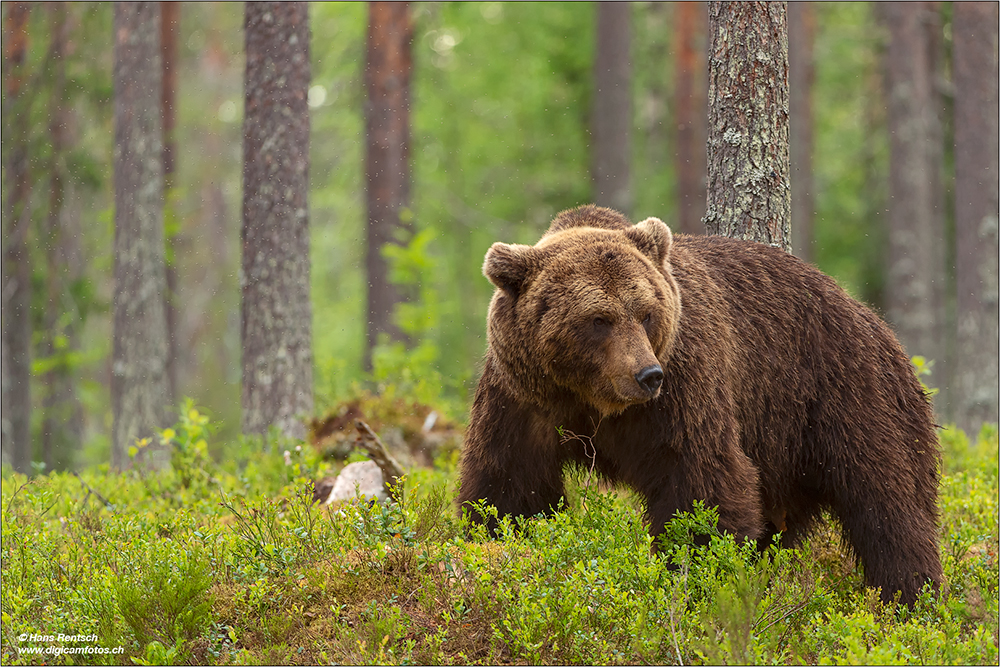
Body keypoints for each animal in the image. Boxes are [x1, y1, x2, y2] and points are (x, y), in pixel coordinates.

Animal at [460, 206, 944, 608]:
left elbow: (700, 484)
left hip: (845, 398)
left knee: (889, 506)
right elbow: (510, 489)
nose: (647, 375)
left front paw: (695, 578)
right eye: (599, 319)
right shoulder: (523, 397)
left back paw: (912, 601)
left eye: (646, 312)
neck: (594, 402)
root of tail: (876, 322)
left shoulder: (684, 388)